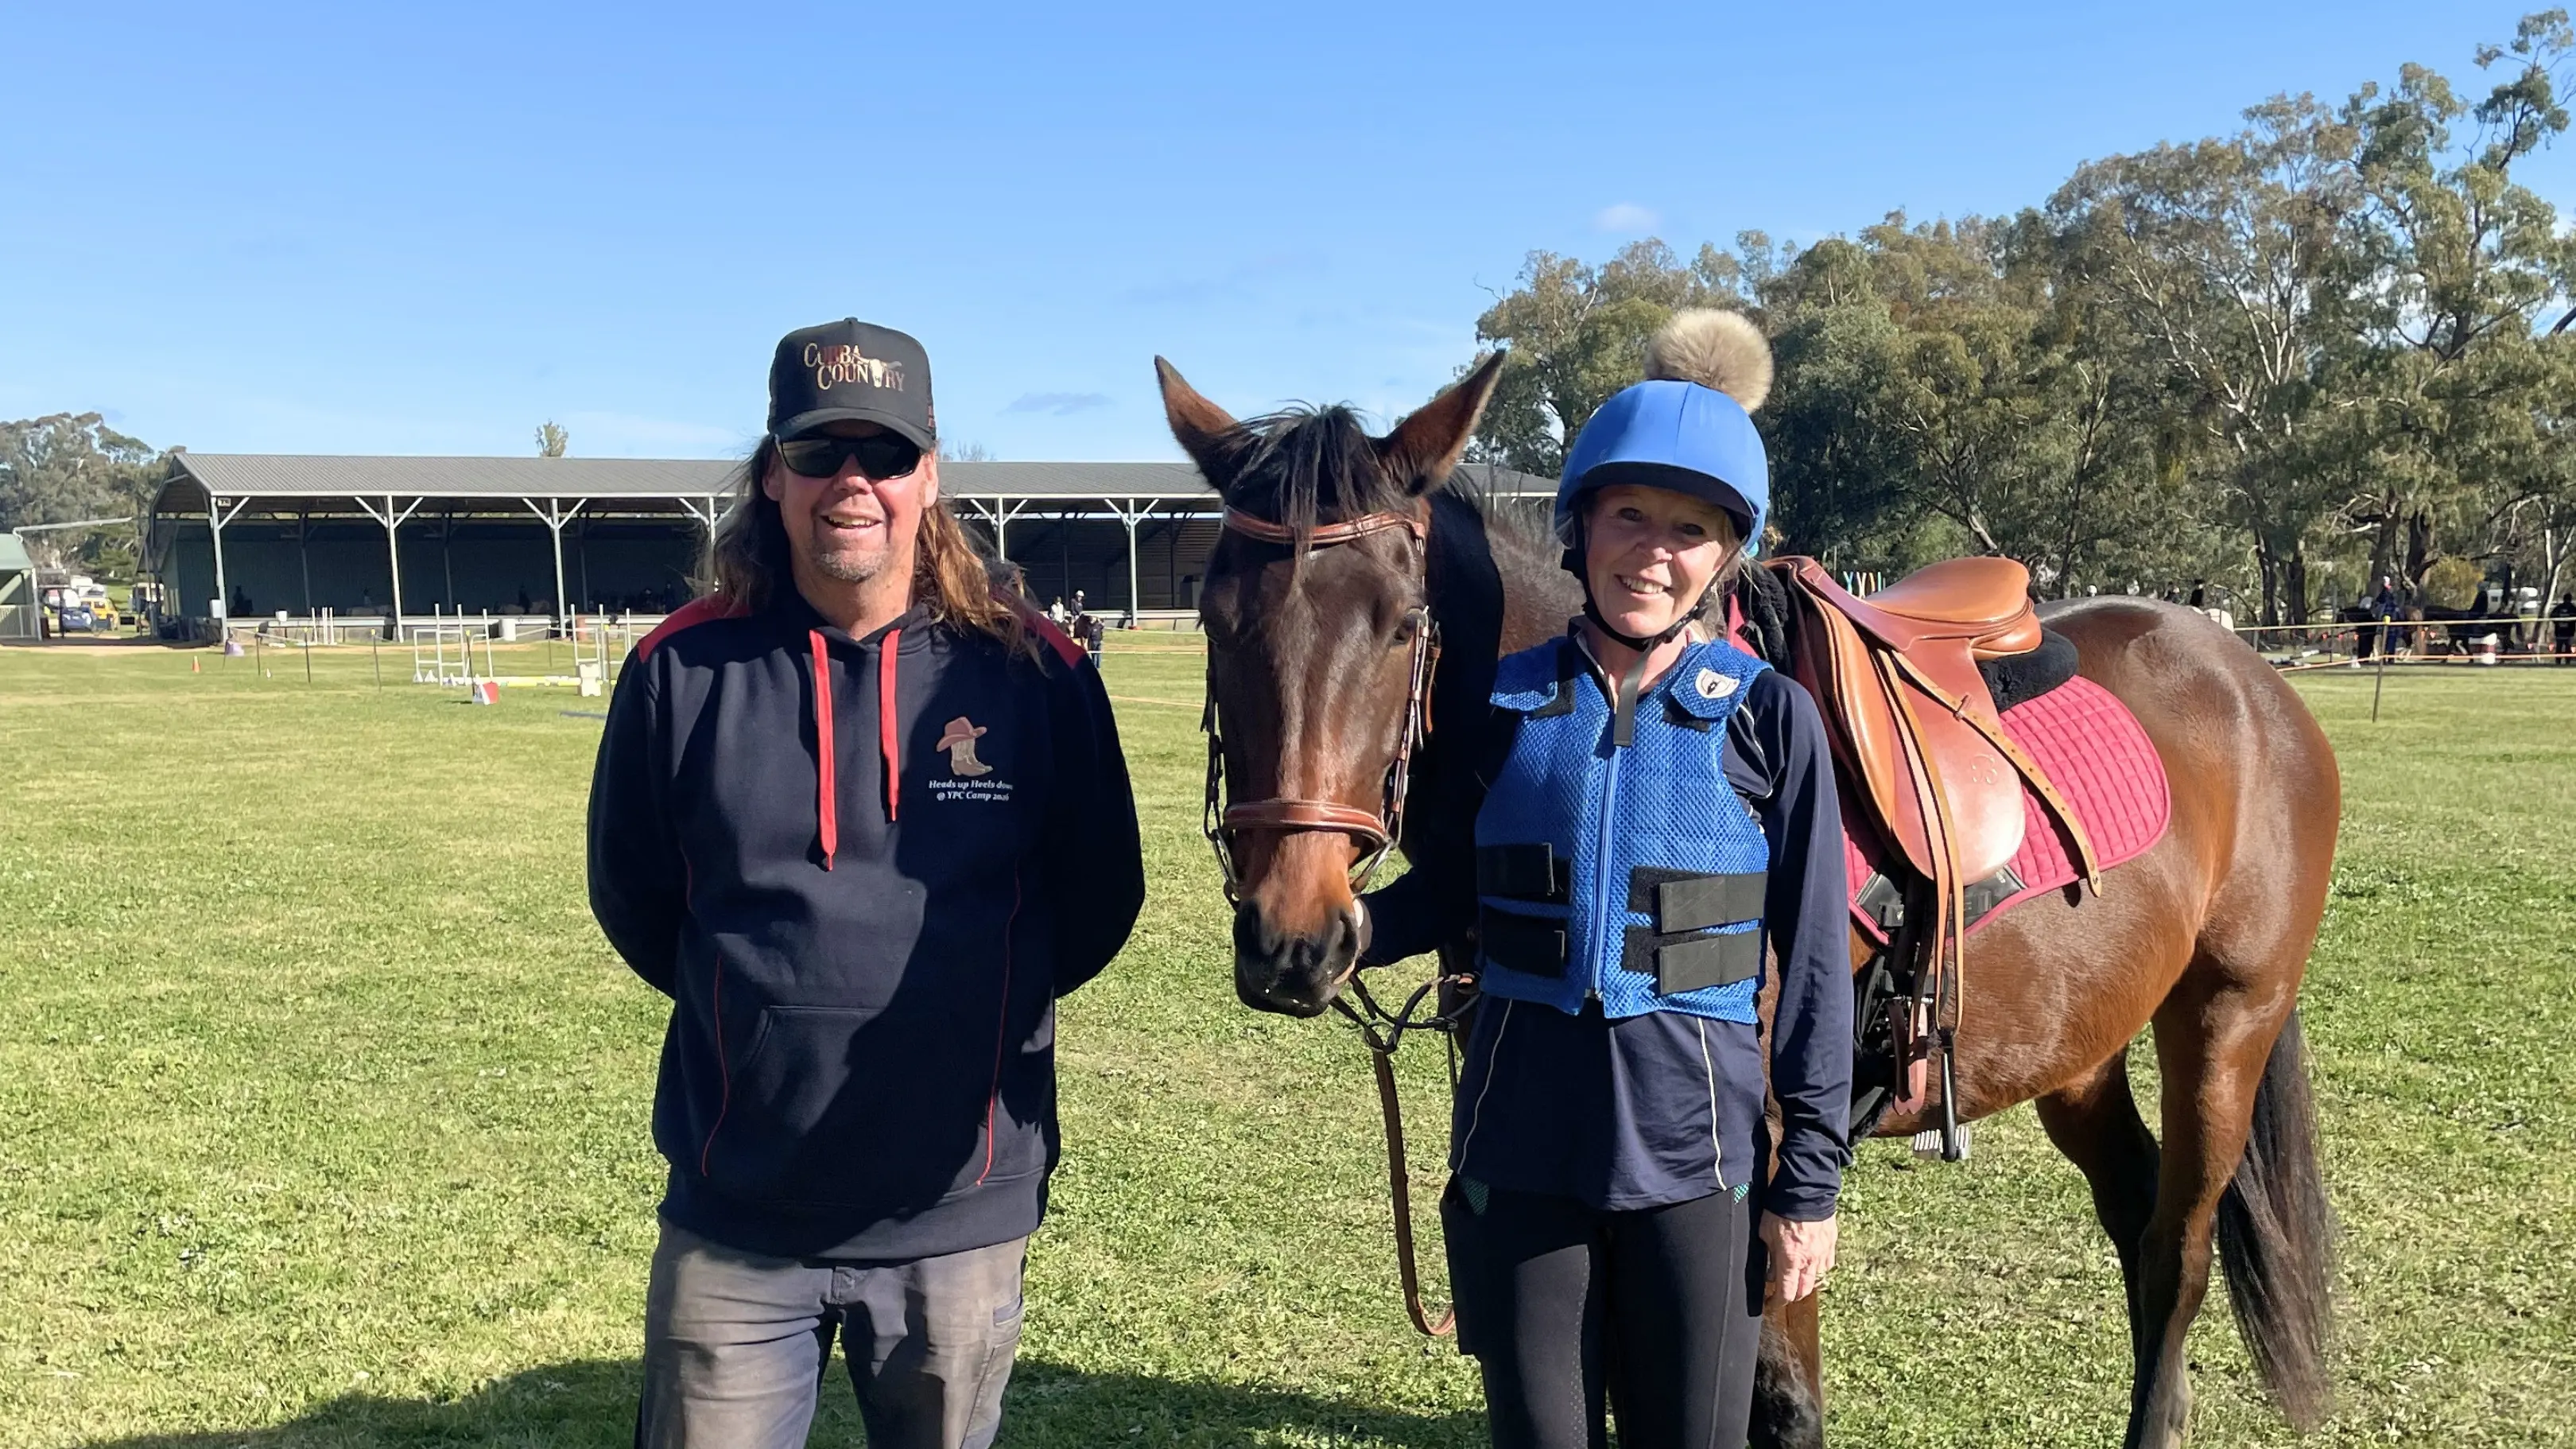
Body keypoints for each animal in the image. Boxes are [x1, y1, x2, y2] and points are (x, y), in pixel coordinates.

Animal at [1158, 354, 2340, 1449]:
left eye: (1405, 623)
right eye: (1213, 616)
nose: (1294, 941)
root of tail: (2243, 669)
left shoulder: (1772, 1165)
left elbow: (1773, 1404)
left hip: (2225, 1023)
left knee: (2175, 1251)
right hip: (2080, 1040)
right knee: (2135, 1211)